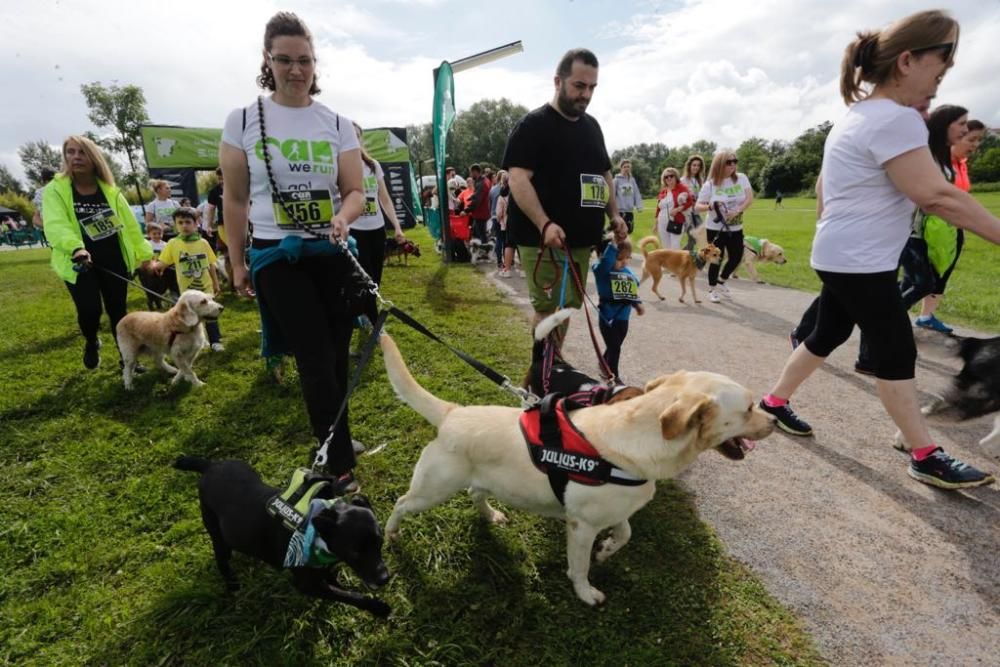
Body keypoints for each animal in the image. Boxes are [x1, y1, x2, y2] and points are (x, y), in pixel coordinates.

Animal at [174, 456, 392, 620]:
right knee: (221, 559)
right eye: (355, 552)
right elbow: (348, 595)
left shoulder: (322, 567)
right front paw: (378, 607)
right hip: (218, 535)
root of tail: (210, 466)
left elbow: (335, 584)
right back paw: (232, 585)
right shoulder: (306, 585)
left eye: (380, 543)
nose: (384, 578)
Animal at [376, 334, 772, 604]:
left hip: (485, 481)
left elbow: (626, 532)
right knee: (401, 502)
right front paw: (586, 592)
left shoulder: (615, 509)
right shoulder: (581, 526)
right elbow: (579, 567)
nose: (773, 420)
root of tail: (452, 413)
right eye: (749, 408)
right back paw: (391, 533)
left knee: (476, 493)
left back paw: (491, 516)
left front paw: (608, 550)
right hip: (433, 489)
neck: (640, 439)